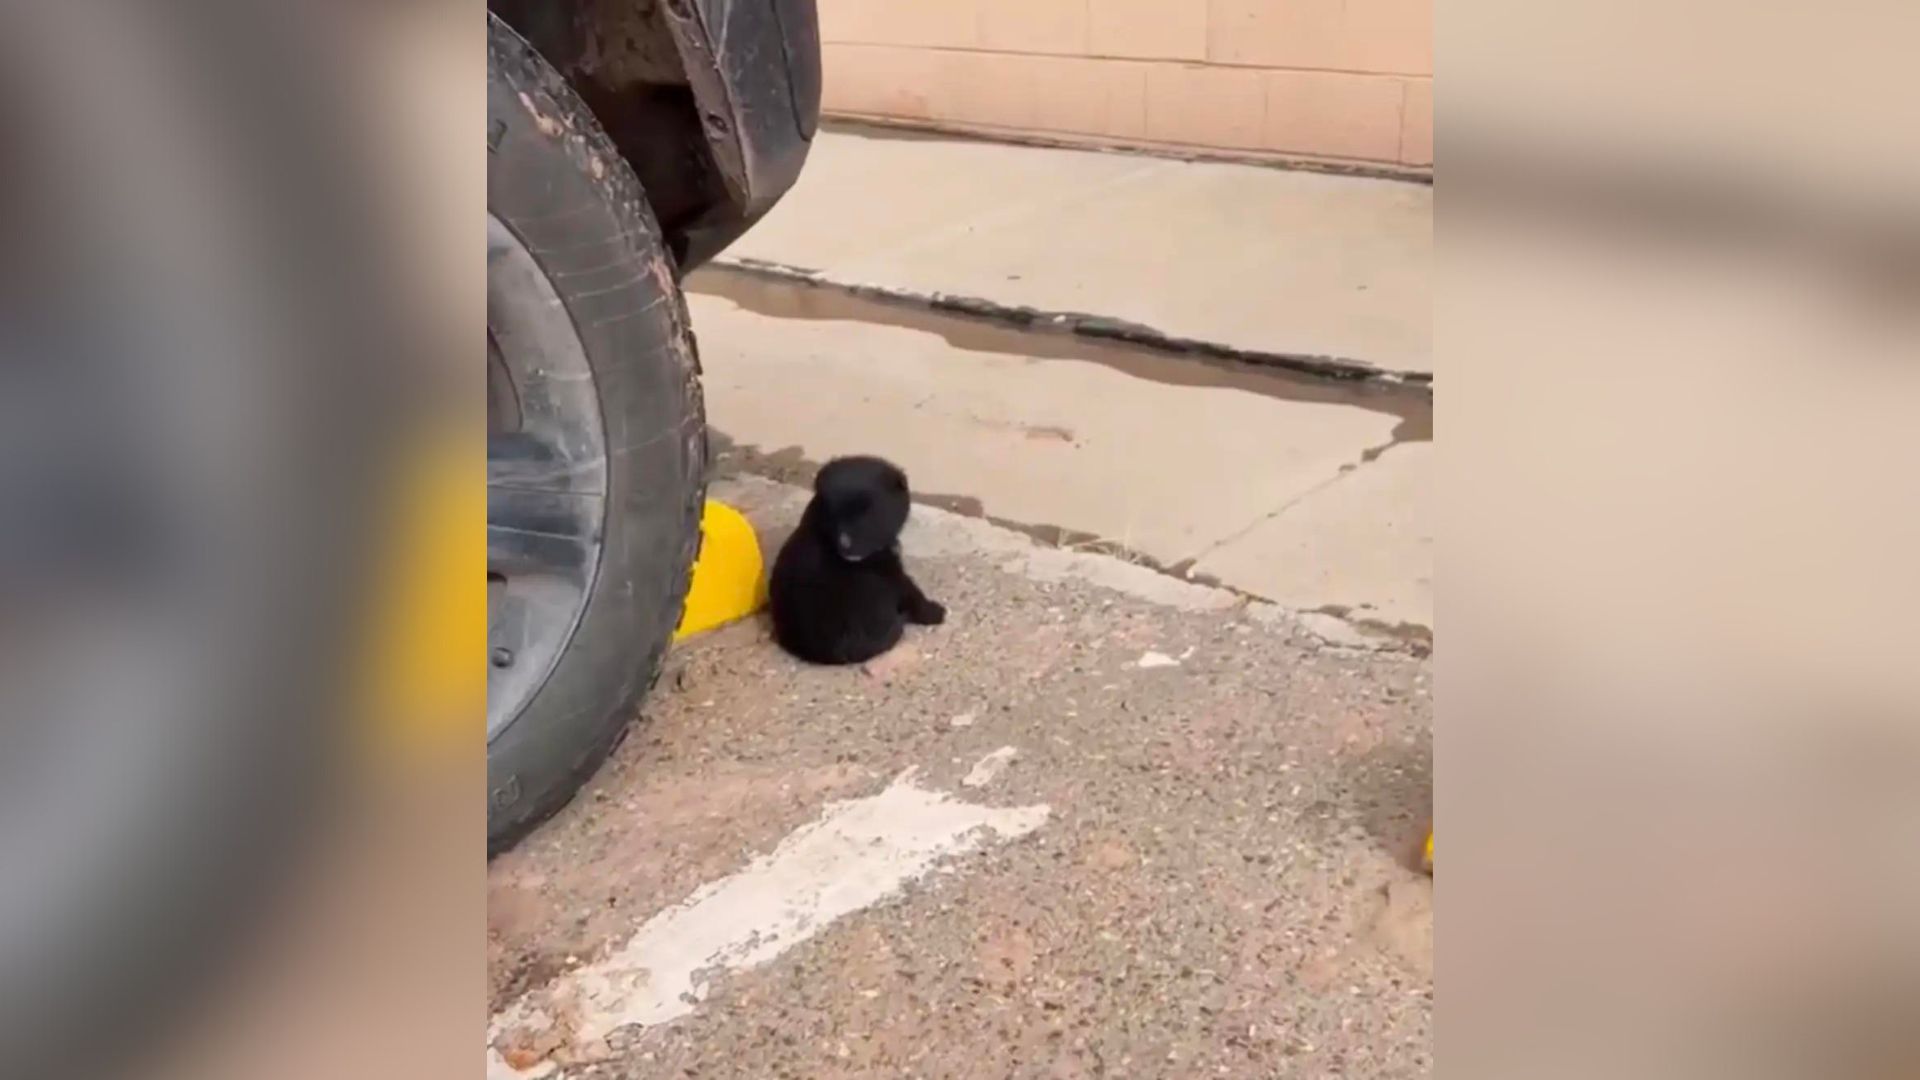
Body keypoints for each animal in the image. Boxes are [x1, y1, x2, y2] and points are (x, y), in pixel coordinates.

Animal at [764, 451, 944, 661]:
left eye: (868, 512)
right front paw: (935, 612)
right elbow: (911, 591)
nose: (844, 544)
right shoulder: (889, 571)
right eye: (833, 513)